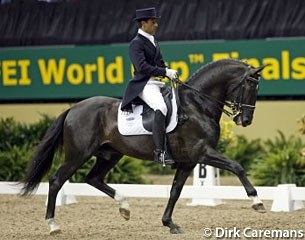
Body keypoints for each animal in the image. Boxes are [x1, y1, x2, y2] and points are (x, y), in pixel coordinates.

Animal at [20, 58, 264, 234]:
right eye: (250, 86)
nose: (246, 120)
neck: (197, 105)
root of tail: (73, 108)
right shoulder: (202, 153)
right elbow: (237, 167)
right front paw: (257, 202)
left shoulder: (188, 161)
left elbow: (175, 191)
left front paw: (169, 223)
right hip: (78, 154)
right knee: (56, 180)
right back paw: (53, 225)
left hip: (110, 155)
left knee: (93, 178)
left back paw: (125, 208)